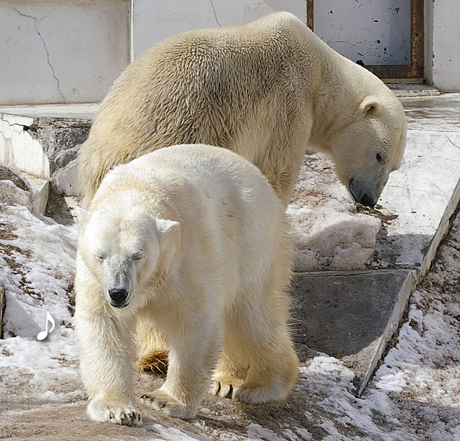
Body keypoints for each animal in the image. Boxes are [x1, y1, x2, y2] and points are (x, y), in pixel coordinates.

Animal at [74, 144, 300, 422]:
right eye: (101, 255)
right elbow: (107, 324)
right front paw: (117, 409)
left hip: (253, 241)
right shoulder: (95, 279)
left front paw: (165, 400)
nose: (118, 293)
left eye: (138, 255)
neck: (136, 189)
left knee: (251, 315)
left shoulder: (187, 257)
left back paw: (263, 385)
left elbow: (195, 322)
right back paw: (225, 379)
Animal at [78, 10, 406, 208]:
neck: (320, 69)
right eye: (379, 155)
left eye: (394, 166)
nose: (369, 199)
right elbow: (275, 171)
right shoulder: (288, 101)